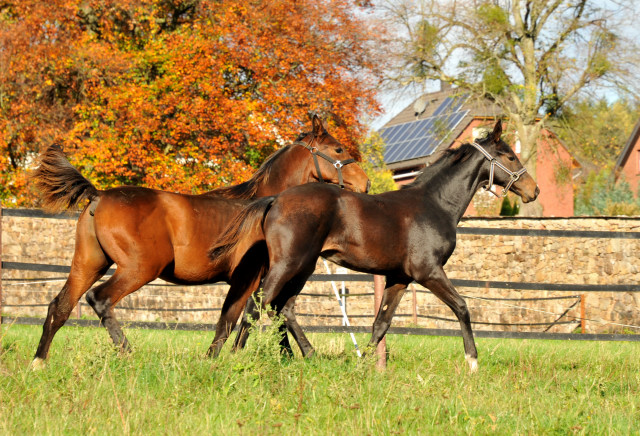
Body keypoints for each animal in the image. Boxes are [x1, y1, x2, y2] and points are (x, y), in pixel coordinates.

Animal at [30, 116, 370, 368]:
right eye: (338, 149)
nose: (365, 184)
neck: (264, 205)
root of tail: (98, 195)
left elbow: (258, 316)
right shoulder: (250, 278)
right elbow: (235, 320)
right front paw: (225, 359)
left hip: (89, 264)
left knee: (60, 306)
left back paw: (39, 362)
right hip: (139, 269)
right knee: (99, 299)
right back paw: (129, 353)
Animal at [211, 121, 540, 370]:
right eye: (510, 156)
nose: (533, 190)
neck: (434, 204)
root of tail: (276, 199)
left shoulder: (399, 278)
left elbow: (381, 324)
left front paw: (364, 365)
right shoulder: (428, 272)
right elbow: (462, 307)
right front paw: (472, 361)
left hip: (303, 267)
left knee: (281, 307)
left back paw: (304, 355)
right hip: (289, 264)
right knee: (257, 304)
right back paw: (236, 357)